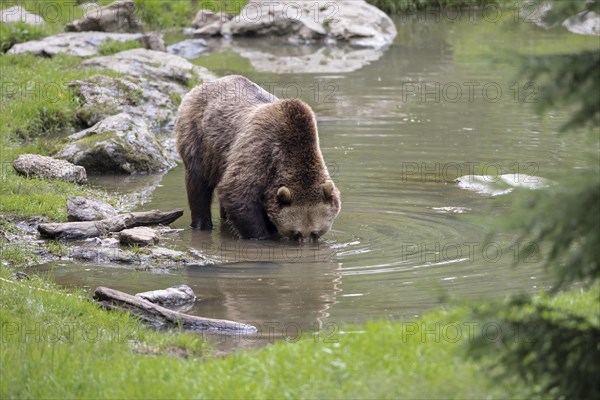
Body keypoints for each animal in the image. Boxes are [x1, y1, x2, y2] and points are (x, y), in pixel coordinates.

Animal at [176, 75, 340, 241]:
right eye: (296, 233)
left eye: (316, 232)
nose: (305, 242)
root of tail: (202, 85)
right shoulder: (259, 151)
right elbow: (236, 192)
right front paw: (262, 236)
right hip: (199, 138)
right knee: (198, 183)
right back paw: (201, 224)